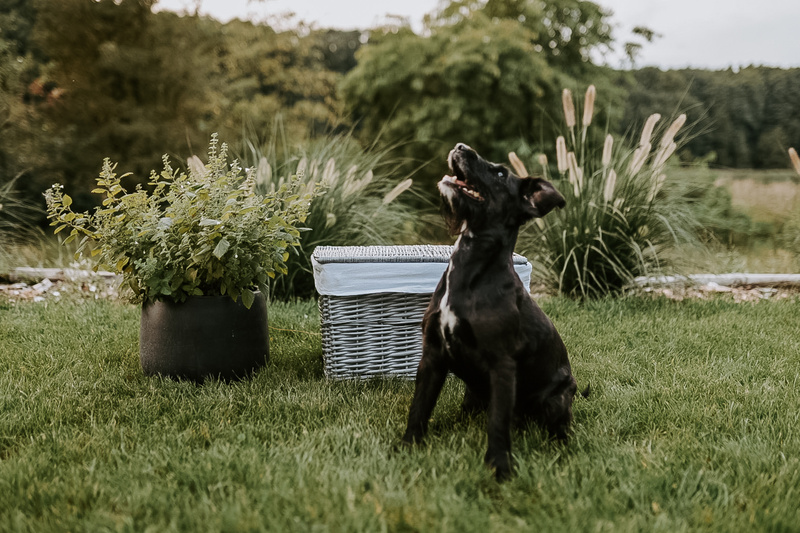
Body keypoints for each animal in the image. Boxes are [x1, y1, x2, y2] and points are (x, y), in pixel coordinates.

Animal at [404, 143, 580, 480]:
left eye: (500, 173)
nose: (461, 147)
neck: (472, 267)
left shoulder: (502, 365)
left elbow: (497, 422)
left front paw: (499, 468)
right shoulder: (432, 355)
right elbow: (419, 406)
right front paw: (406, 446)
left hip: (557, 399)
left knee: (559, 430)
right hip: (472, 391)